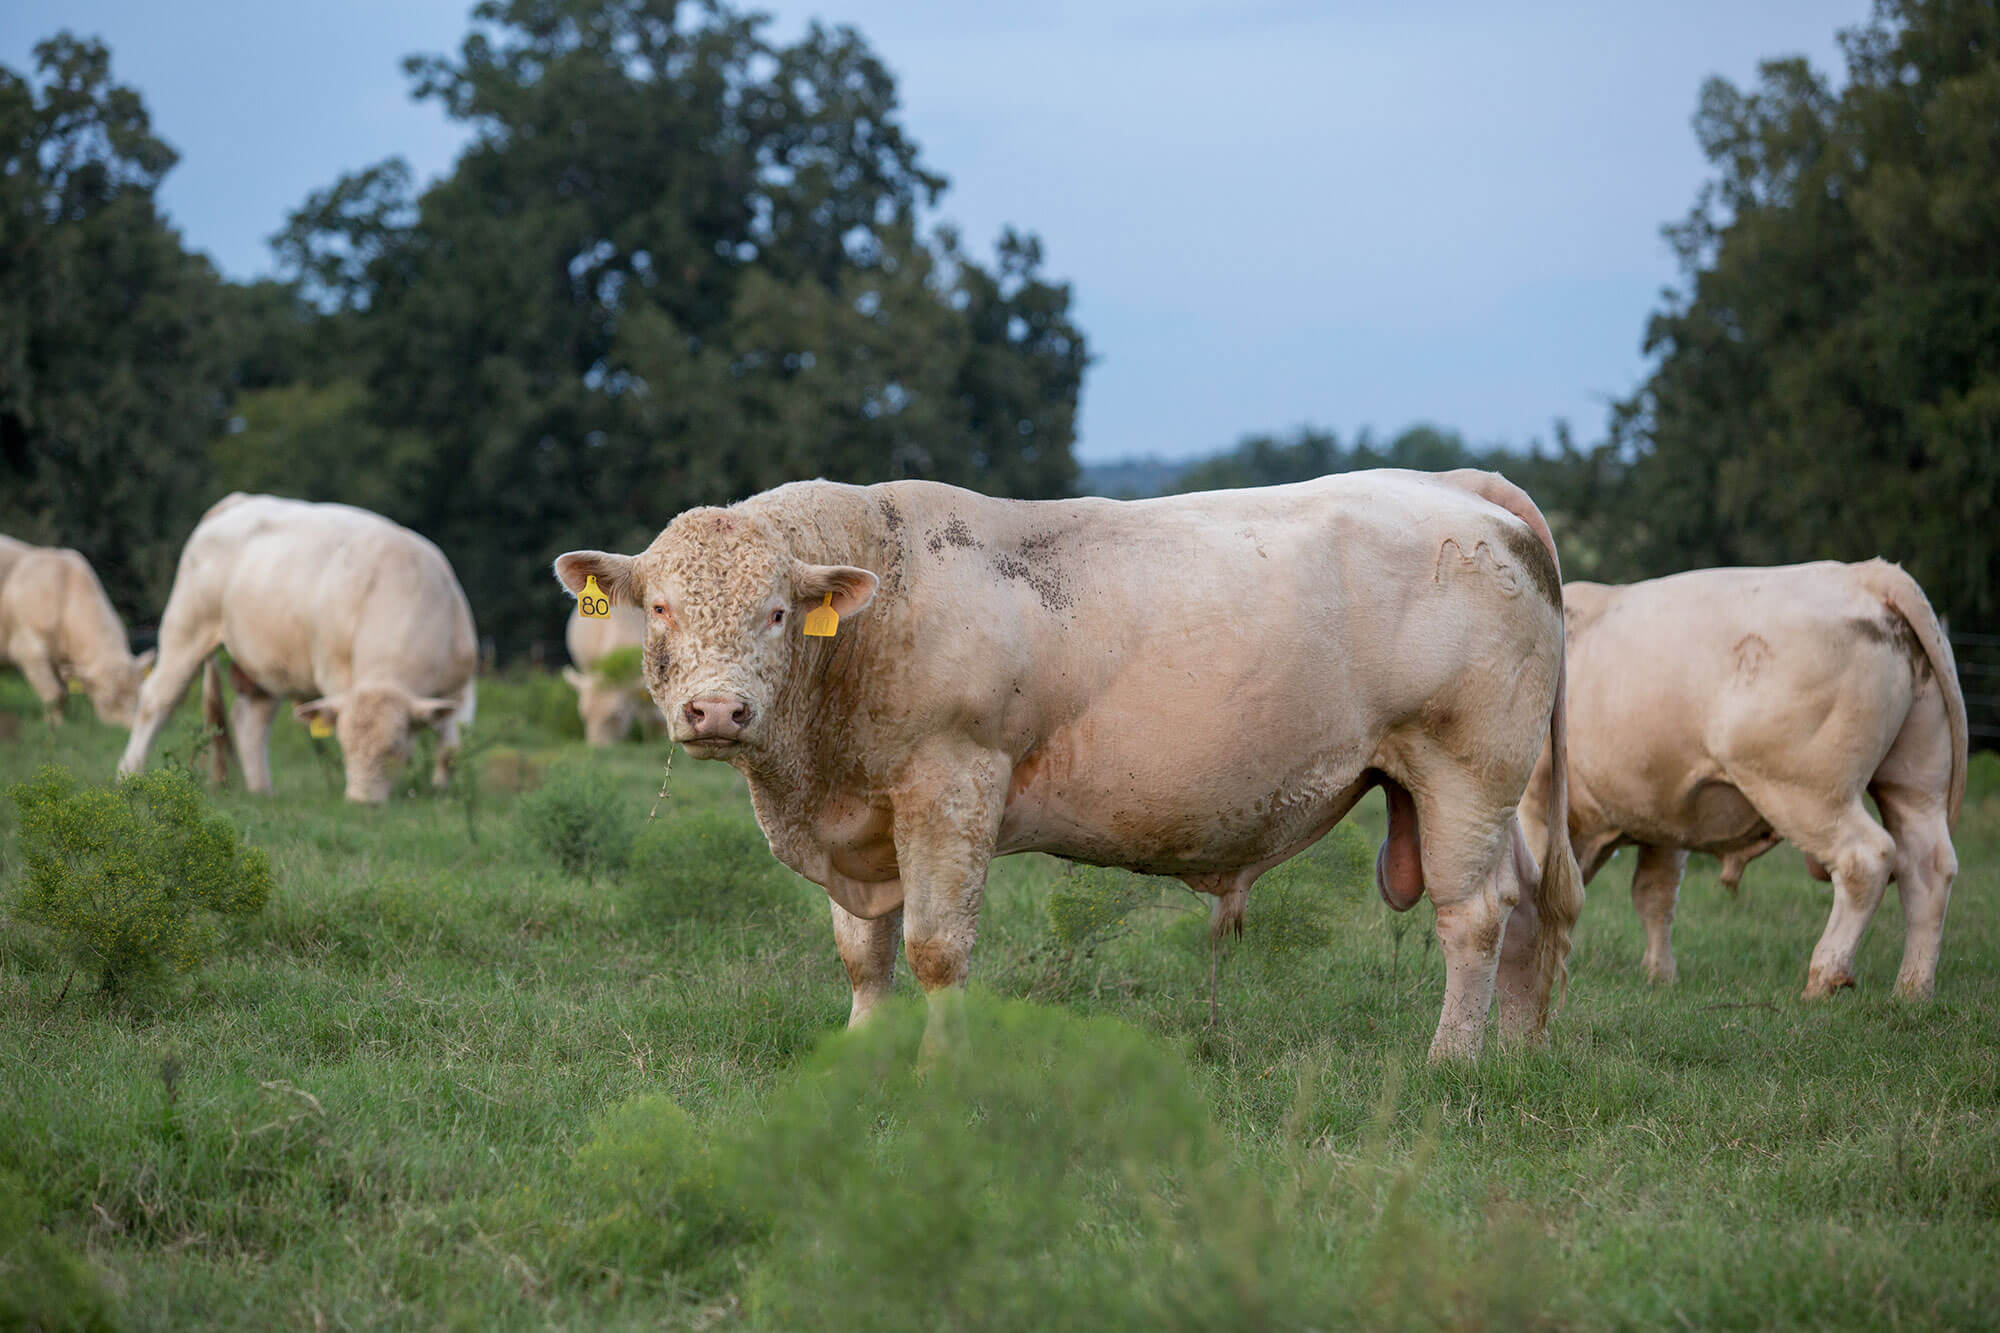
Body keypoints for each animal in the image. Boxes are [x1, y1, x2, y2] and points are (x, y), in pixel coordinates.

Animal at [118, 490, 476, 792]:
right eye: (344, 746)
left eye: (396, 751)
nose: (362, 802)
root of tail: (237, 501)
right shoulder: (336, 674)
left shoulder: (461, 686)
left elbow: (451, 746)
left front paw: (443, 790)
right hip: (186, 630)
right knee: (156, 700)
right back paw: (129, 774)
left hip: (264, 663)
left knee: (250, 721)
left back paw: (262, 791)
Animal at [1512, 560, 1968, 996]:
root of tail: (1868, 573)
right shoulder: (1661, 812)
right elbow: (1654, 894)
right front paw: (1660, 976)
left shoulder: (1537, 804)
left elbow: (1539, 886)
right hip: (1913, 782)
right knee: (1928, 867)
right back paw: (1910, 991)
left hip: (1807, 791)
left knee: (1866, 859)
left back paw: (1825, 976)